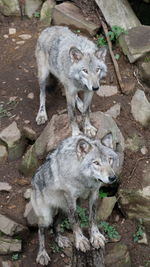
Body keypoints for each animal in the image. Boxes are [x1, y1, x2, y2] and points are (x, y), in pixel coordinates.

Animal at [31, 134, 118, 266]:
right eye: (96, 163)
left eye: (110, 160)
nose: (112, 178)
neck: (84, 181)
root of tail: (33, 181)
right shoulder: (71, 199)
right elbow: (75, 222)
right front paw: (81, 240)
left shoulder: (94, 193)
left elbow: (92, 217)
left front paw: (95, 237)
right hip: (47, 216)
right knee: (41, 230)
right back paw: (42, 254)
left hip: (64, 210)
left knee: (55, 224)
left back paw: (60, 239)